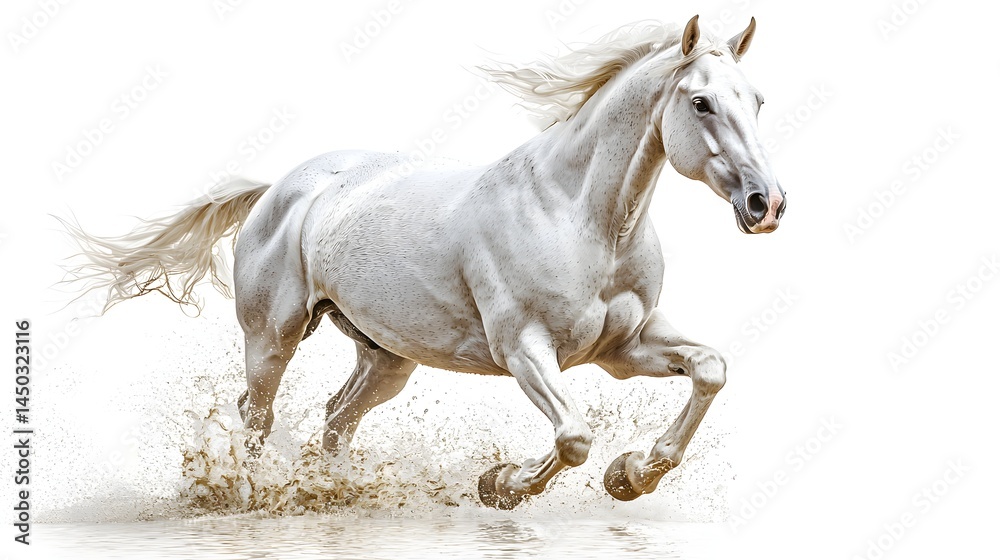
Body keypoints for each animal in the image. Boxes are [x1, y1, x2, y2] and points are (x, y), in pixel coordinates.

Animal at [63, 15, 785, 509]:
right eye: (701, 102)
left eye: (757, 99)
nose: (766, 203)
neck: (578, 217)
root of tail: (280, 188)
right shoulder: (525, 350)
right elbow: (574, 437)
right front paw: (501, 484)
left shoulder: (623, 347)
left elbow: (710, 369)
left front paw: (631, 476)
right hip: (272, 337)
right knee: (256, 416)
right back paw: (247, 494)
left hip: (386, 356)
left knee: (335, 418)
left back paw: (338, 495)